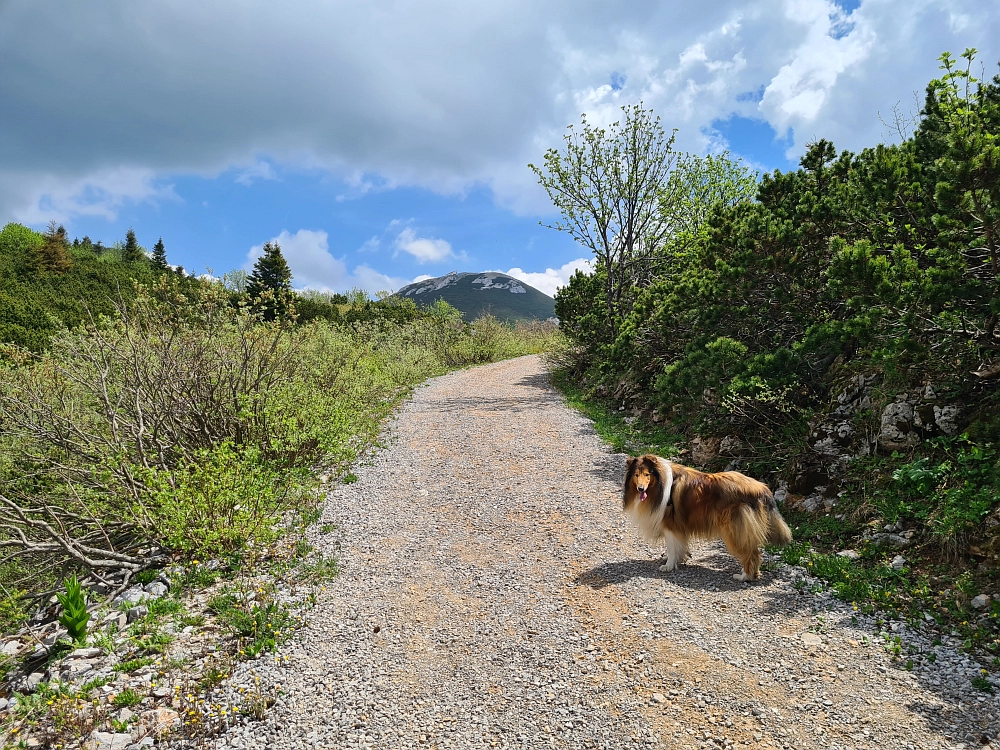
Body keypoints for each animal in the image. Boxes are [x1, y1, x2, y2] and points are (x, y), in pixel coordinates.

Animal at [620, 456, 792, 584]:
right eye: (636, 475)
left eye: (647, 474)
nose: (640, 489)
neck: (660, 484)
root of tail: (763, 489)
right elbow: (678, 547)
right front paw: (677, 560)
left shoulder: (670, 526)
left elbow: (672, 548)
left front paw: (668, 566)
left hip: (733, 530)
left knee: (753, 553)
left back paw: (744, 577)